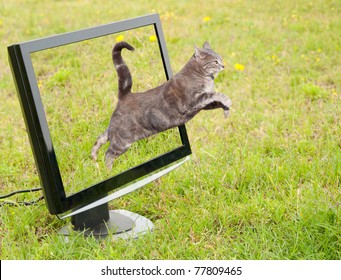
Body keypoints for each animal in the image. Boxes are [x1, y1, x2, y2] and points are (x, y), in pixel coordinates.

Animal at [90, 41, 231, 168]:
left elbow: (216, 101)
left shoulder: (203, 105)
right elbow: (216, 95)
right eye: (215, 61)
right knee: (108, 153)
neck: (204, 77)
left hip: (114, 131)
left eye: (221, 59)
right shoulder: (194, 100)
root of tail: (125, 96)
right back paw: (107, 170)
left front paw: (226, 110)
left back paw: (94, 158)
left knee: (101, 138)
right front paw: (227, 101)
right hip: (122, 140)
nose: (223, 66)